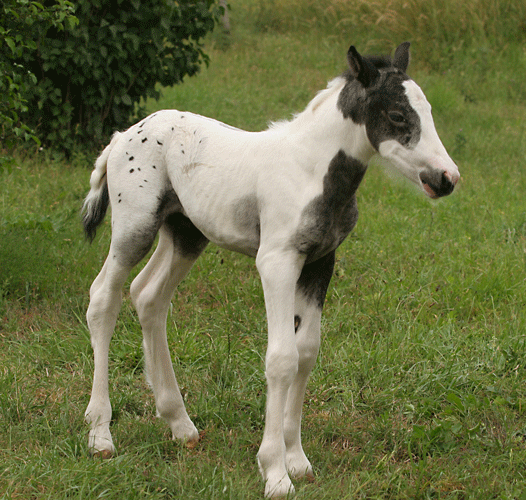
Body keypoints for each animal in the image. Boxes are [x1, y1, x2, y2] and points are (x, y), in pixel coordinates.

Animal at [83, 43, 462, 496]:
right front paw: (275, 472)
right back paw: (100, 434)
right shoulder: (276, 262)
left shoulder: (320, 262)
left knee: (148, 296)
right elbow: (281, 357)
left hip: (186, 233)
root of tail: (122, 136)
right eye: (398, 116)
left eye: (429, 112)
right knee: (103, 298)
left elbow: (306, 352)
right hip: (135, 227)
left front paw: (297, 459)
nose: (447, 178)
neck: (311, 170)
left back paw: (180, 423)